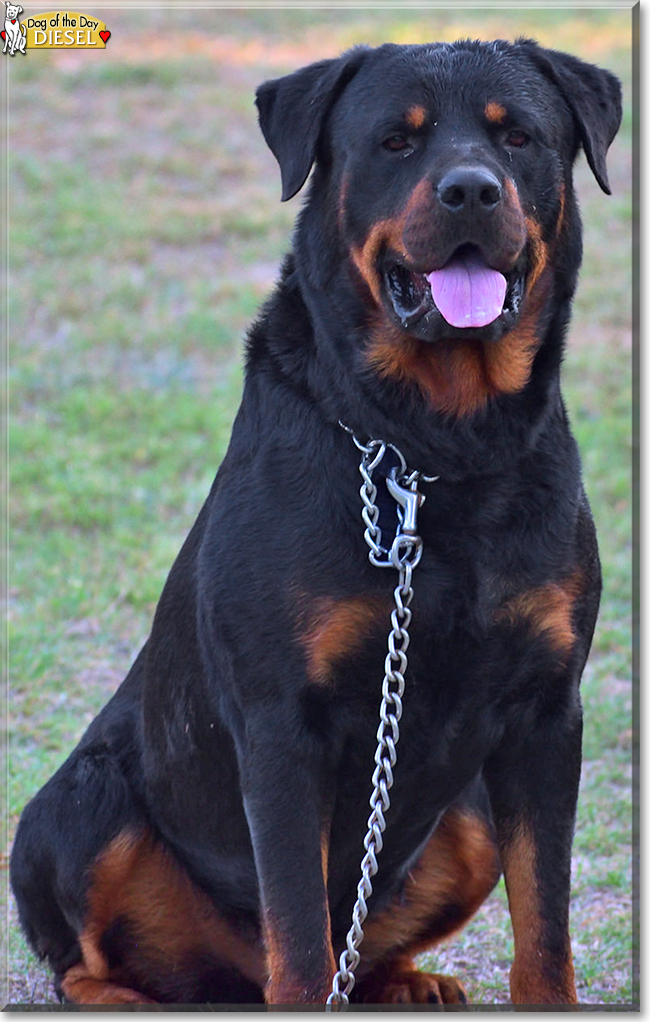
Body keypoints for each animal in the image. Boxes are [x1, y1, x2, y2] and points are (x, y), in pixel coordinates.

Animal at [8, 37, 621, 1005]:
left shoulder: (546, 713)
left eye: (517, 136)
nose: (472, 190)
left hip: (469, 820)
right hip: (78, 807)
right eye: (396, 142)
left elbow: (545, 925)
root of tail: (223, 978)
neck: (433, 447)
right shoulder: (282, 725)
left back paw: (410, 980)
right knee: (96, 958)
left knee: (361, 947)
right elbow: (298, 936)